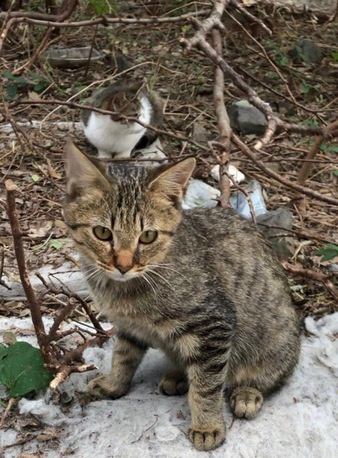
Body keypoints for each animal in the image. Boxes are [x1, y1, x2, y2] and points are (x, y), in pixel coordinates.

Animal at [62, 140, 298, 450]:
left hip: (274, 341)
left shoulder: (214, 323)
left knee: (267, 375)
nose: (123, 265)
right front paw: (114, 383)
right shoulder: (129, 326)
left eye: (147, 236)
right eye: (102, 233)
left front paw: (207, 425)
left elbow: (207, 386)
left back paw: (247, 393)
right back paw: (178, 376)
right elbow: (123, 356)